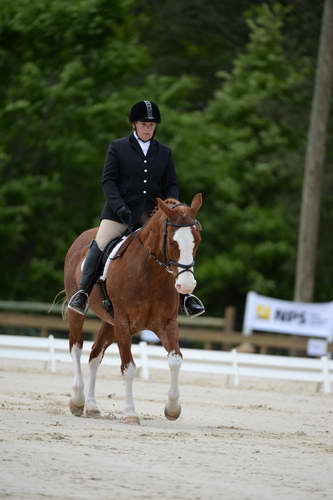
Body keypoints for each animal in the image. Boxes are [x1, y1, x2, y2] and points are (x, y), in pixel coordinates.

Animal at [63, 193, 201, 424]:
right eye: (172, 242)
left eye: (197, 241)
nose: (186, 285)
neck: (150, 274)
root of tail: (82, 238)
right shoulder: (123, 323)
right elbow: (128, 368)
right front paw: (130, 413)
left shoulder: (166, 323)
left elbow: (175, 360)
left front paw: (172, 409)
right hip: (82, 313)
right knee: (76, 347)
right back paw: (77, 401)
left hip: (110, 323)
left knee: (94, 356)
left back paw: (92, 406)